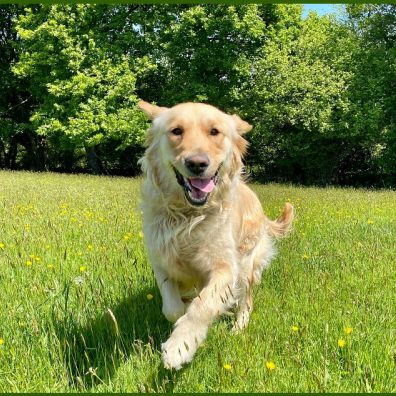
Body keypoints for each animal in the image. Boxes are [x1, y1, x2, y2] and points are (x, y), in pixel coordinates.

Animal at [138, 100, 292, 370]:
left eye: (214, 132)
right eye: (176, 131)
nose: (197, 163)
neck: (188, 216)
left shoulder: (225, 269)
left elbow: (203, 305)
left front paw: (180, 346)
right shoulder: (161, 261)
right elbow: (173, 308)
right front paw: (182, 311)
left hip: (246, 265)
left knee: (247, 300)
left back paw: (238, 326)